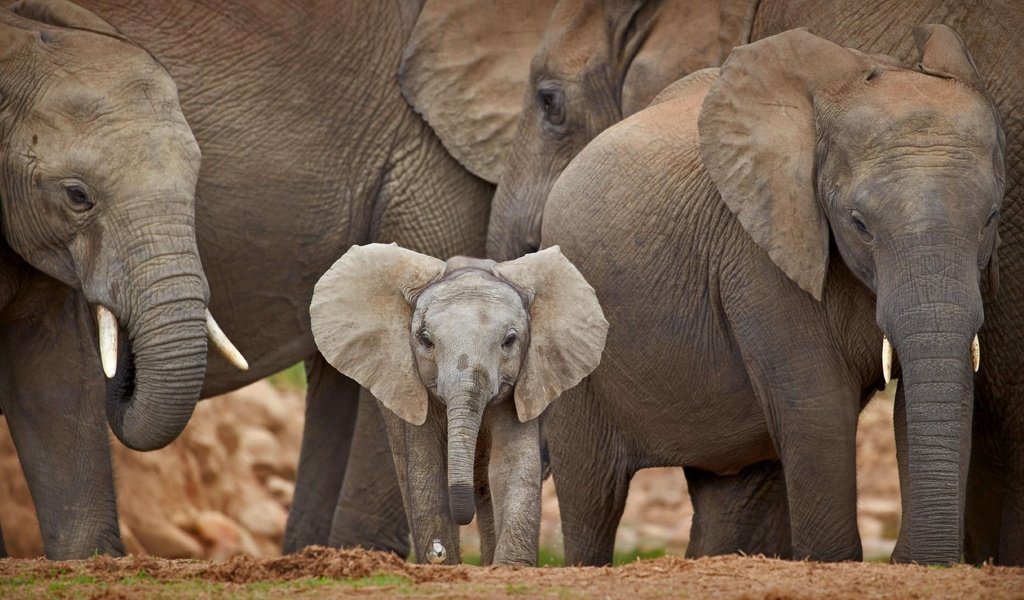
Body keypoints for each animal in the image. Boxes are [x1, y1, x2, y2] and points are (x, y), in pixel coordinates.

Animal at [307, 241, 602, 561]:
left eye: (510, 341)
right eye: (425, 341)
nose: (438, 550)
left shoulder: (520, 385)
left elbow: (512, 467)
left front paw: (509, 566)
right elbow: (427, 472)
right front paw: (443, 561)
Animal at [540, 24, 1003, 565]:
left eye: (992, 218)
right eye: (859, 224)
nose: (905, 560)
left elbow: (920, 399)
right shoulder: (757, 257)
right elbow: (818, 411)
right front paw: (833, 563)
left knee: (728, 496)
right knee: (592, 495)